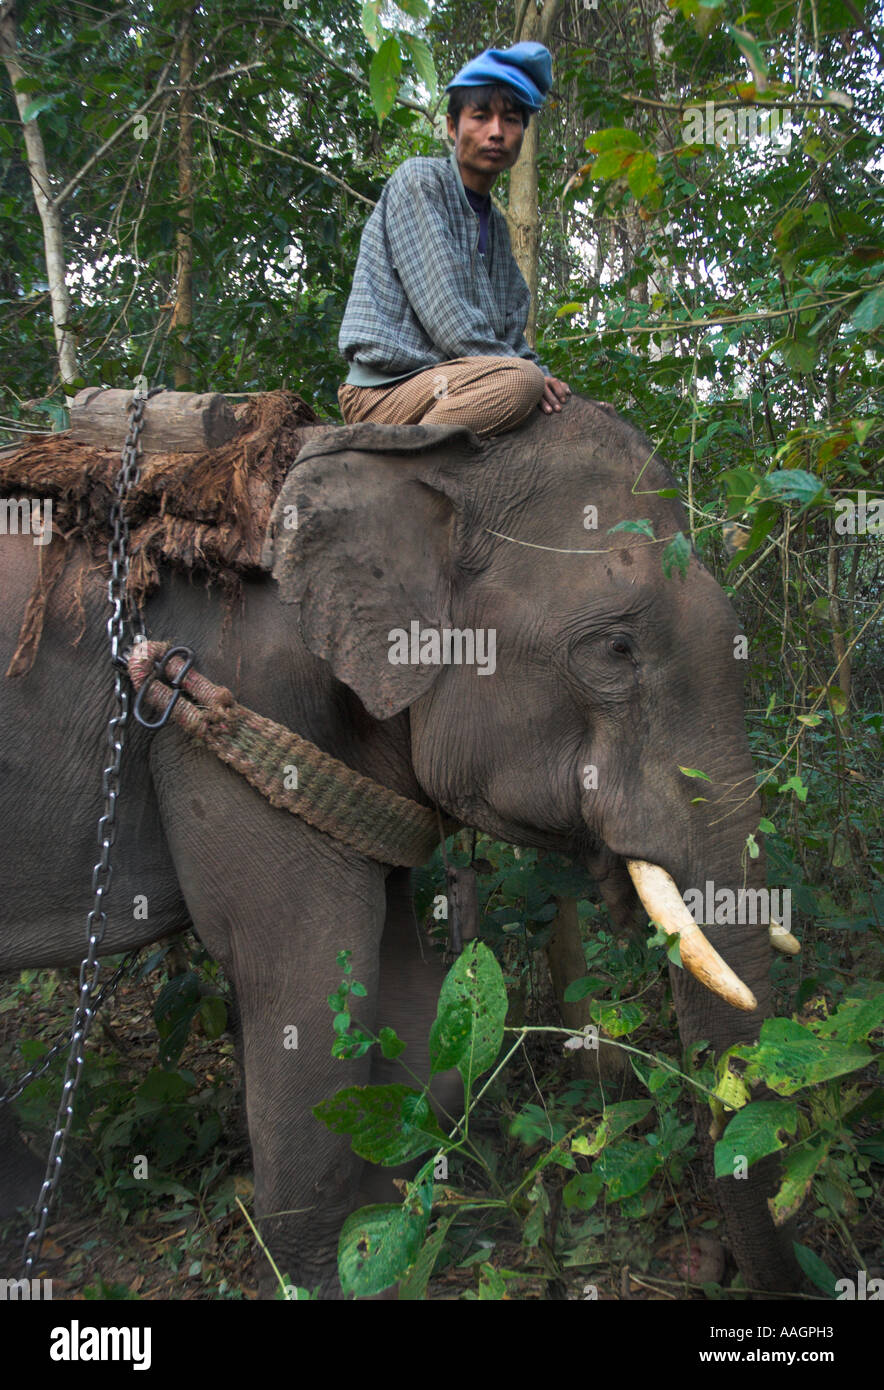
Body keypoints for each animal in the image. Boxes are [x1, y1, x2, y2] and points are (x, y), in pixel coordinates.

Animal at [0, 397, 800, 1295]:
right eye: (616, 650)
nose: (718, 1263)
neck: (408, 457)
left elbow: (414, 1001)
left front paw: (400, 1214)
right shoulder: (224, 703)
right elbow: (305, 975)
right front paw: (320, 1275)